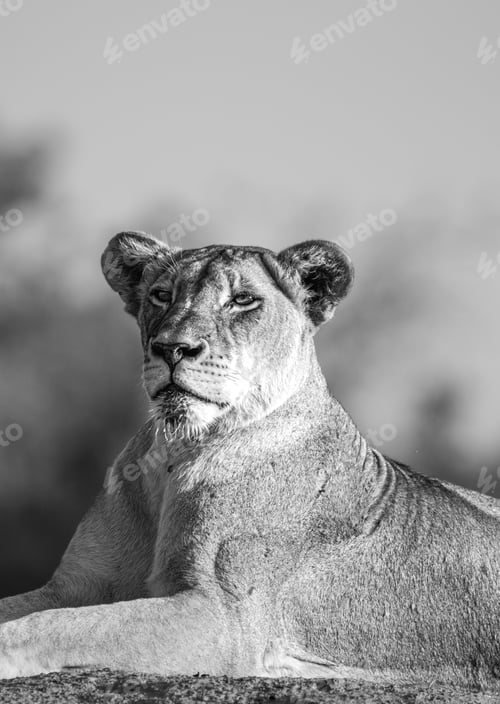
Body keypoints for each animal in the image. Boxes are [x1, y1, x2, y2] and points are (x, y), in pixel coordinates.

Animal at [0, 233, 499, 687]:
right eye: (162, 295)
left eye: (242, 301)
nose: (172, 348)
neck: (175, 452)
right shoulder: (75, 586)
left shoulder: (224, 617)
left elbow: (55, 628)